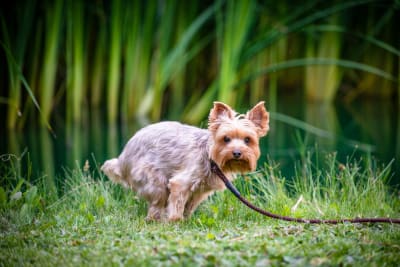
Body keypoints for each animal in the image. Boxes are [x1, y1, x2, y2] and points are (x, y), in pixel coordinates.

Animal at [101, 102, 268, 222]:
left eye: (248, 140)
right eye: (226, 139)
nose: (237, 153)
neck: (210, 156)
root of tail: (122, 160)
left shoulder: (200, 191)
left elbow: (189, 206)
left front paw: (186, 219)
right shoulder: (181, 183)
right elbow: (177, 203)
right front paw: (175, 220)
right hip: (153, 179)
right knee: (157, 203)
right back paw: (157, 219)